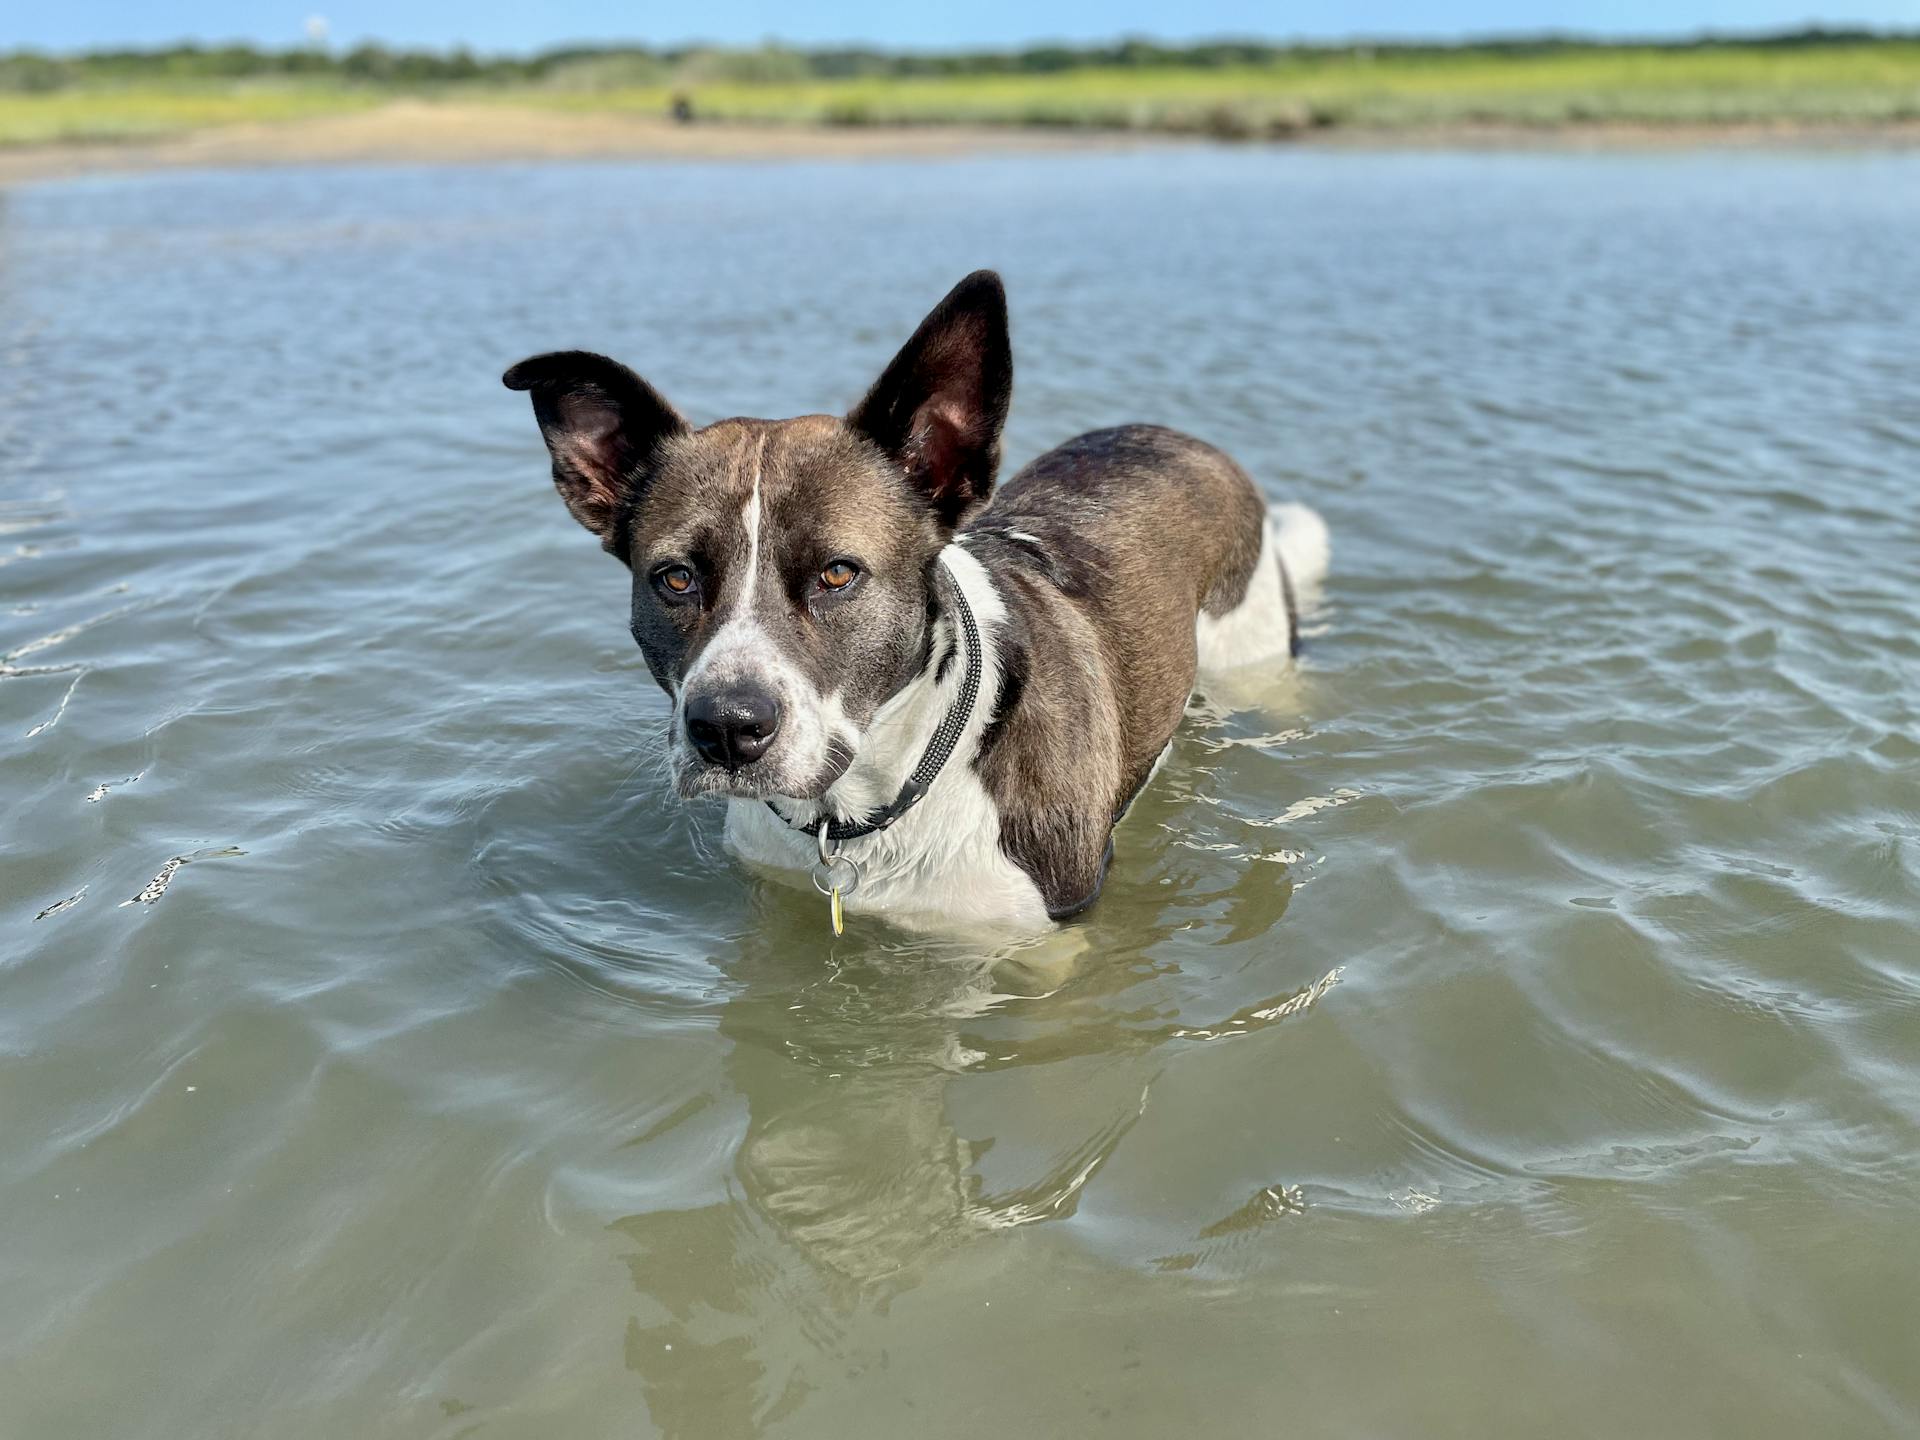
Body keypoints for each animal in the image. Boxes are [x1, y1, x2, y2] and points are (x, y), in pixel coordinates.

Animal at [503, 272, 1328, 936]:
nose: (727, 729)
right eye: (675, 579)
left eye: (838, 574)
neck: (865, 811)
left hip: (1256, 666)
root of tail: (1183, 439)